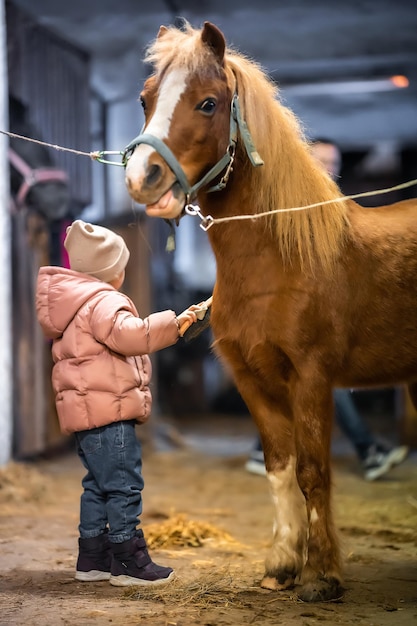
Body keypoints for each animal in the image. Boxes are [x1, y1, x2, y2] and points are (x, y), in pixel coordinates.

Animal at [122, 23, 416, 600]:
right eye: (145, 99)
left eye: (208, 103)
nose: (143, 177)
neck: (280, 259)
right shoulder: (250, 378)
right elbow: (280, 469)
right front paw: (281, 566)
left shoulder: (311, 377)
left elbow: (313, 472)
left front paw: (321, 576)